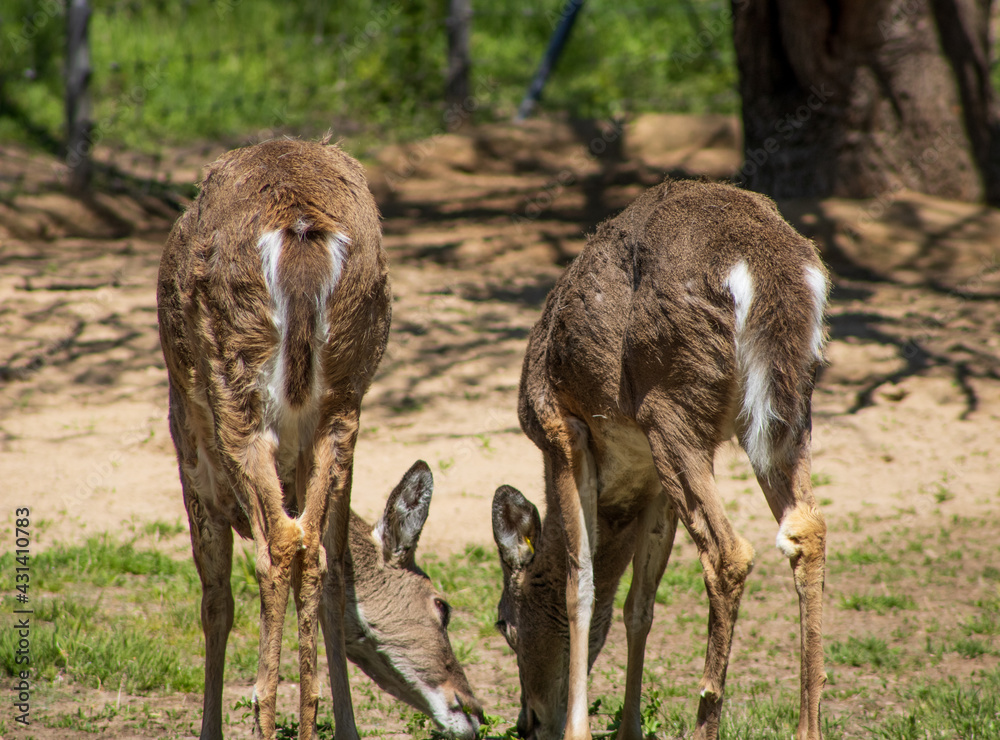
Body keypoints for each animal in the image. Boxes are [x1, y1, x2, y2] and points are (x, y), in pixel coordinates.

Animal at [156, 139, 480, 740]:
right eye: (441, 605)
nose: (474, 709)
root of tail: (301, 231)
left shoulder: (192, 461)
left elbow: (216, 601)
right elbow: (334, 579)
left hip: (233, 393)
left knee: (279, 545)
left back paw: (265, 709)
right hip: (346, 400)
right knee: (316, 553)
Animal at [490, 179, 828, 740]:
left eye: (504, 623)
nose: (527, 722)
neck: (621, 488)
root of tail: (767, 265)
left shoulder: (560, 430)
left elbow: (580, 586)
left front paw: (579, 731)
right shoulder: (651, 484)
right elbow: (639, 604)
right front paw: (629, 728)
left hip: (670, 400)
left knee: (729, 551)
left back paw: (706, 719)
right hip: (784, 408)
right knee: (808, 530)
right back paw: (808, 727)